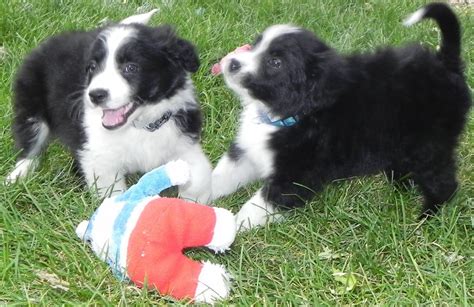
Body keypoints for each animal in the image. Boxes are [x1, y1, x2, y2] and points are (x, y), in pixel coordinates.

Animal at [6, 10, 211, 202]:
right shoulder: (99, 159)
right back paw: (17, 176)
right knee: (29, 142)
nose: (95, 95)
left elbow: (199, 178)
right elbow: (113, 195)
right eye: (92, 67)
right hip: (31, 102)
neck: (141, 126)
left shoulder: (185, 143)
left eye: (130, 67)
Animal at [213, 3, 472, 231]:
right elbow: (220, 177)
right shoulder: (246, 153)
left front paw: (230, 228)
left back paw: (427, 216)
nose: (231, 62)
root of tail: (445, 63)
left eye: (275, 62)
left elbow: (256, 206)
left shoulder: (295, 175)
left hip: (429, 145)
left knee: (444, 181)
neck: (280, 114)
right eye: (255, 45)